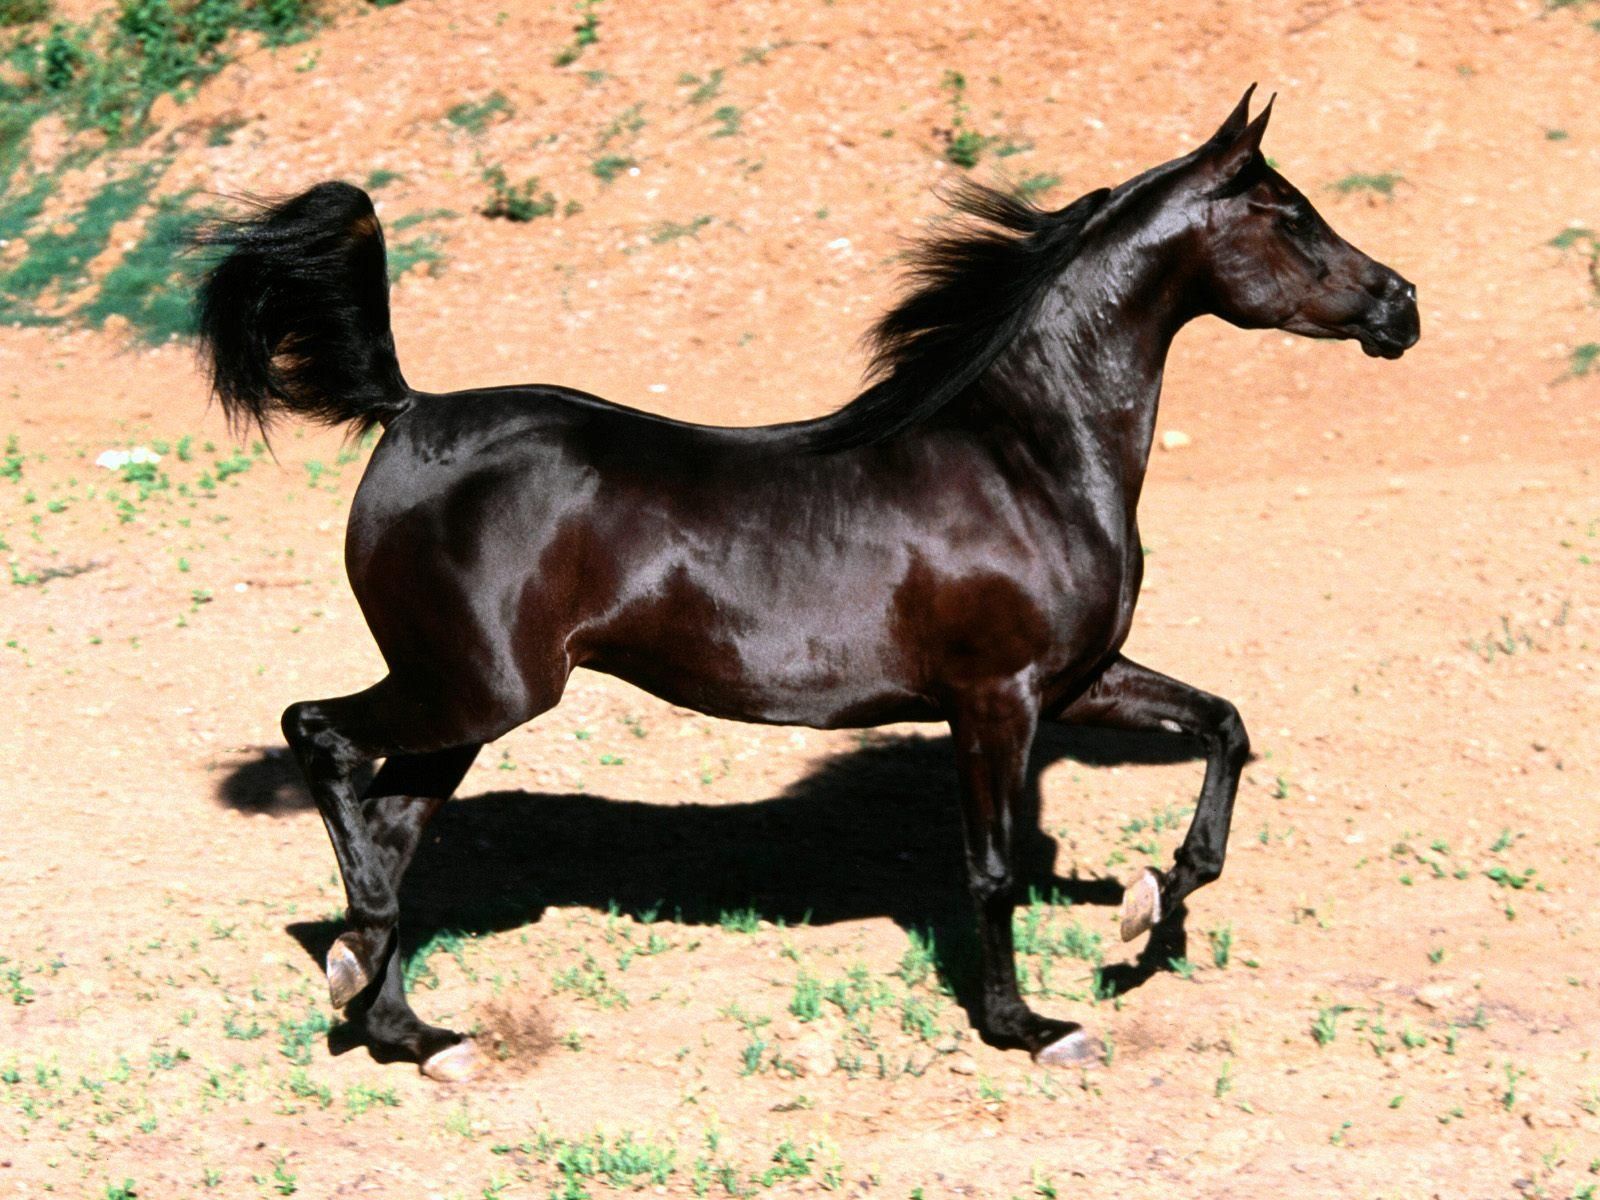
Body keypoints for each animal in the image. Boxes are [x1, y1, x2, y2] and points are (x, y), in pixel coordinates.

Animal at [195, 86, 1418, 1081]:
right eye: (1290, 215)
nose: (1401, 305)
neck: (1024, 455)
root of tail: (408, 412)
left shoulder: (1077, 679)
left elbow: (1223, 726)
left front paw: (1146, 909)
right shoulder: (996, 699)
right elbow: (992, 871)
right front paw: (1030, 1027)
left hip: (467, 706)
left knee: (393, 823)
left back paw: (410, 1028)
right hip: (474, 687)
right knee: (320, 738)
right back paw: (357, 960)